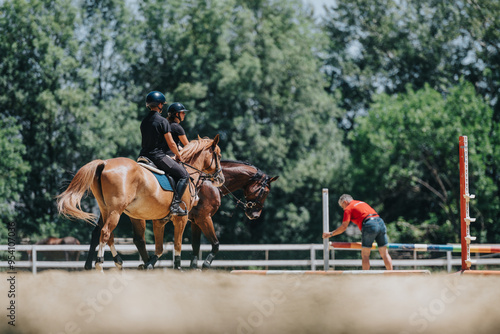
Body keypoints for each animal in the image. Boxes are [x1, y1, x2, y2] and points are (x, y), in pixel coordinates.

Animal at [56, 134, 223, 270]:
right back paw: (100, 264)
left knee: (106, 234)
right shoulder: (182, 218)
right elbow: (177, 245)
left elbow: (159, 248)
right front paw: (177, 268)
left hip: (106, 210)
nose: (220, 178)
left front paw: (148, 264)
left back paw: (116, 262)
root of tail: (104, 163)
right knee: (105, 233)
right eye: (219, 155)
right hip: (116, 211)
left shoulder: (159, 221)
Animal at [83, 160, 278, 272]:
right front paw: (205, 265)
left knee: (103, 233)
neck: (210, 182)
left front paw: (193, 266)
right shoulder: (204, 218)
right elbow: (215, 244)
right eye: (265, 191)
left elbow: (195, 245)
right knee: (114, 235)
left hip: (116, 211)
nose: (254, 214)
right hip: (122, 211)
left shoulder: (195, 221)